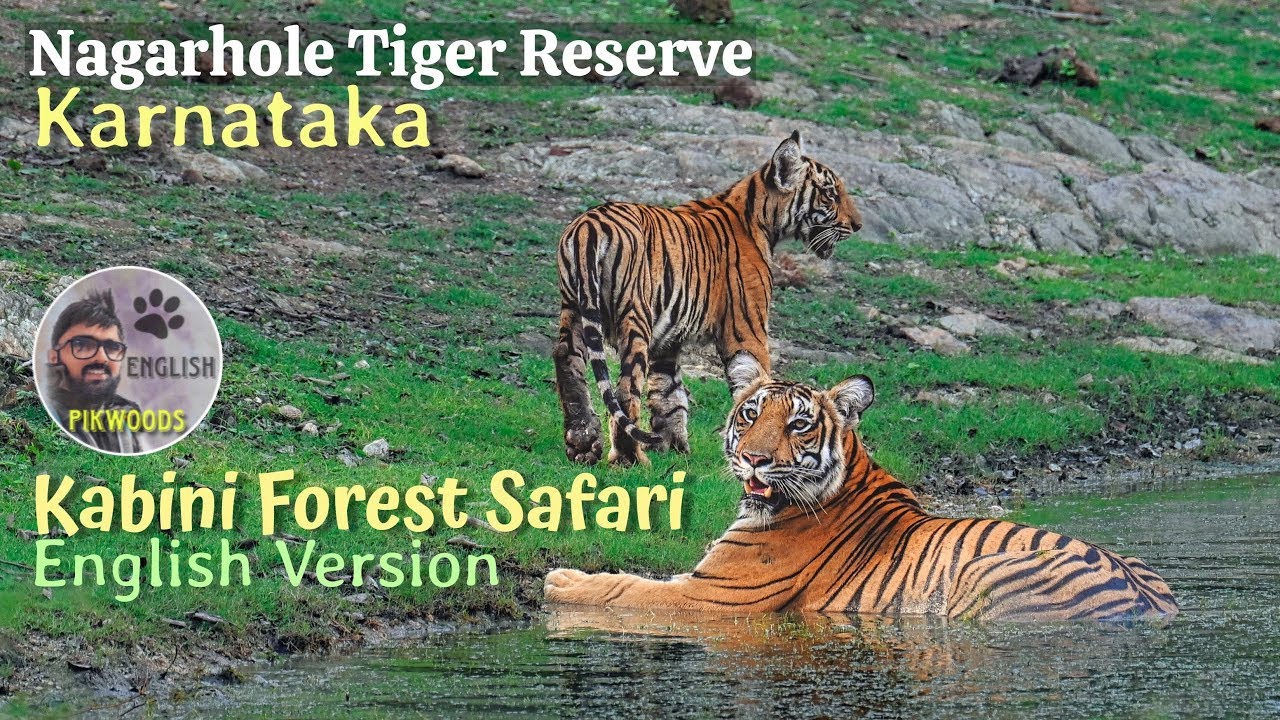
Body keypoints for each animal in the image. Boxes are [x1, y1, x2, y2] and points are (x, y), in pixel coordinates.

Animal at [544, 354, 1179, 622]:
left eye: (798, 425)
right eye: (751, 413)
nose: (754, 459)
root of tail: (1149, 606)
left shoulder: (710, 595)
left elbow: (627, 588)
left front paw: (561, 580)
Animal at [553, 131, 862, 467]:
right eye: (830, 194)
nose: (857, 225)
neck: (760, 218)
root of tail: (589, 228)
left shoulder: (668, 340)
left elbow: (669, 394)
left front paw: (674, 448)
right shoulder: (746, 328)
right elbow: (758, 384)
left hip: (573, 309)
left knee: (567, 360)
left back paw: (583, 445)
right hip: (634, 315)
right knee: (625, 388)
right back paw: (630, 459)